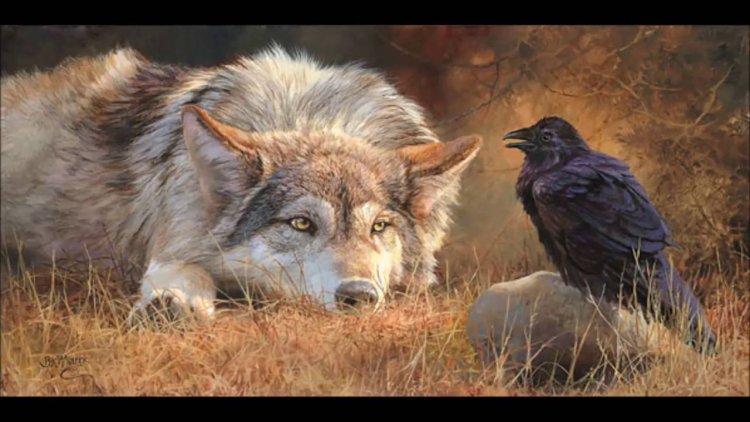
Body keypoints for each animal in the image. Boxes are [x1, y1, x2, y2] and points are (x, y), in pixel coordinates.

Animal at [1, 46, 482, 321]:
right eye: (301, 224)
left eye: (379, 227)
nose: (359, 297)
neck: (305, 114)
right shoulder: (178, 239)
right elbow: (187, 271)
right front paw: (174, 303)